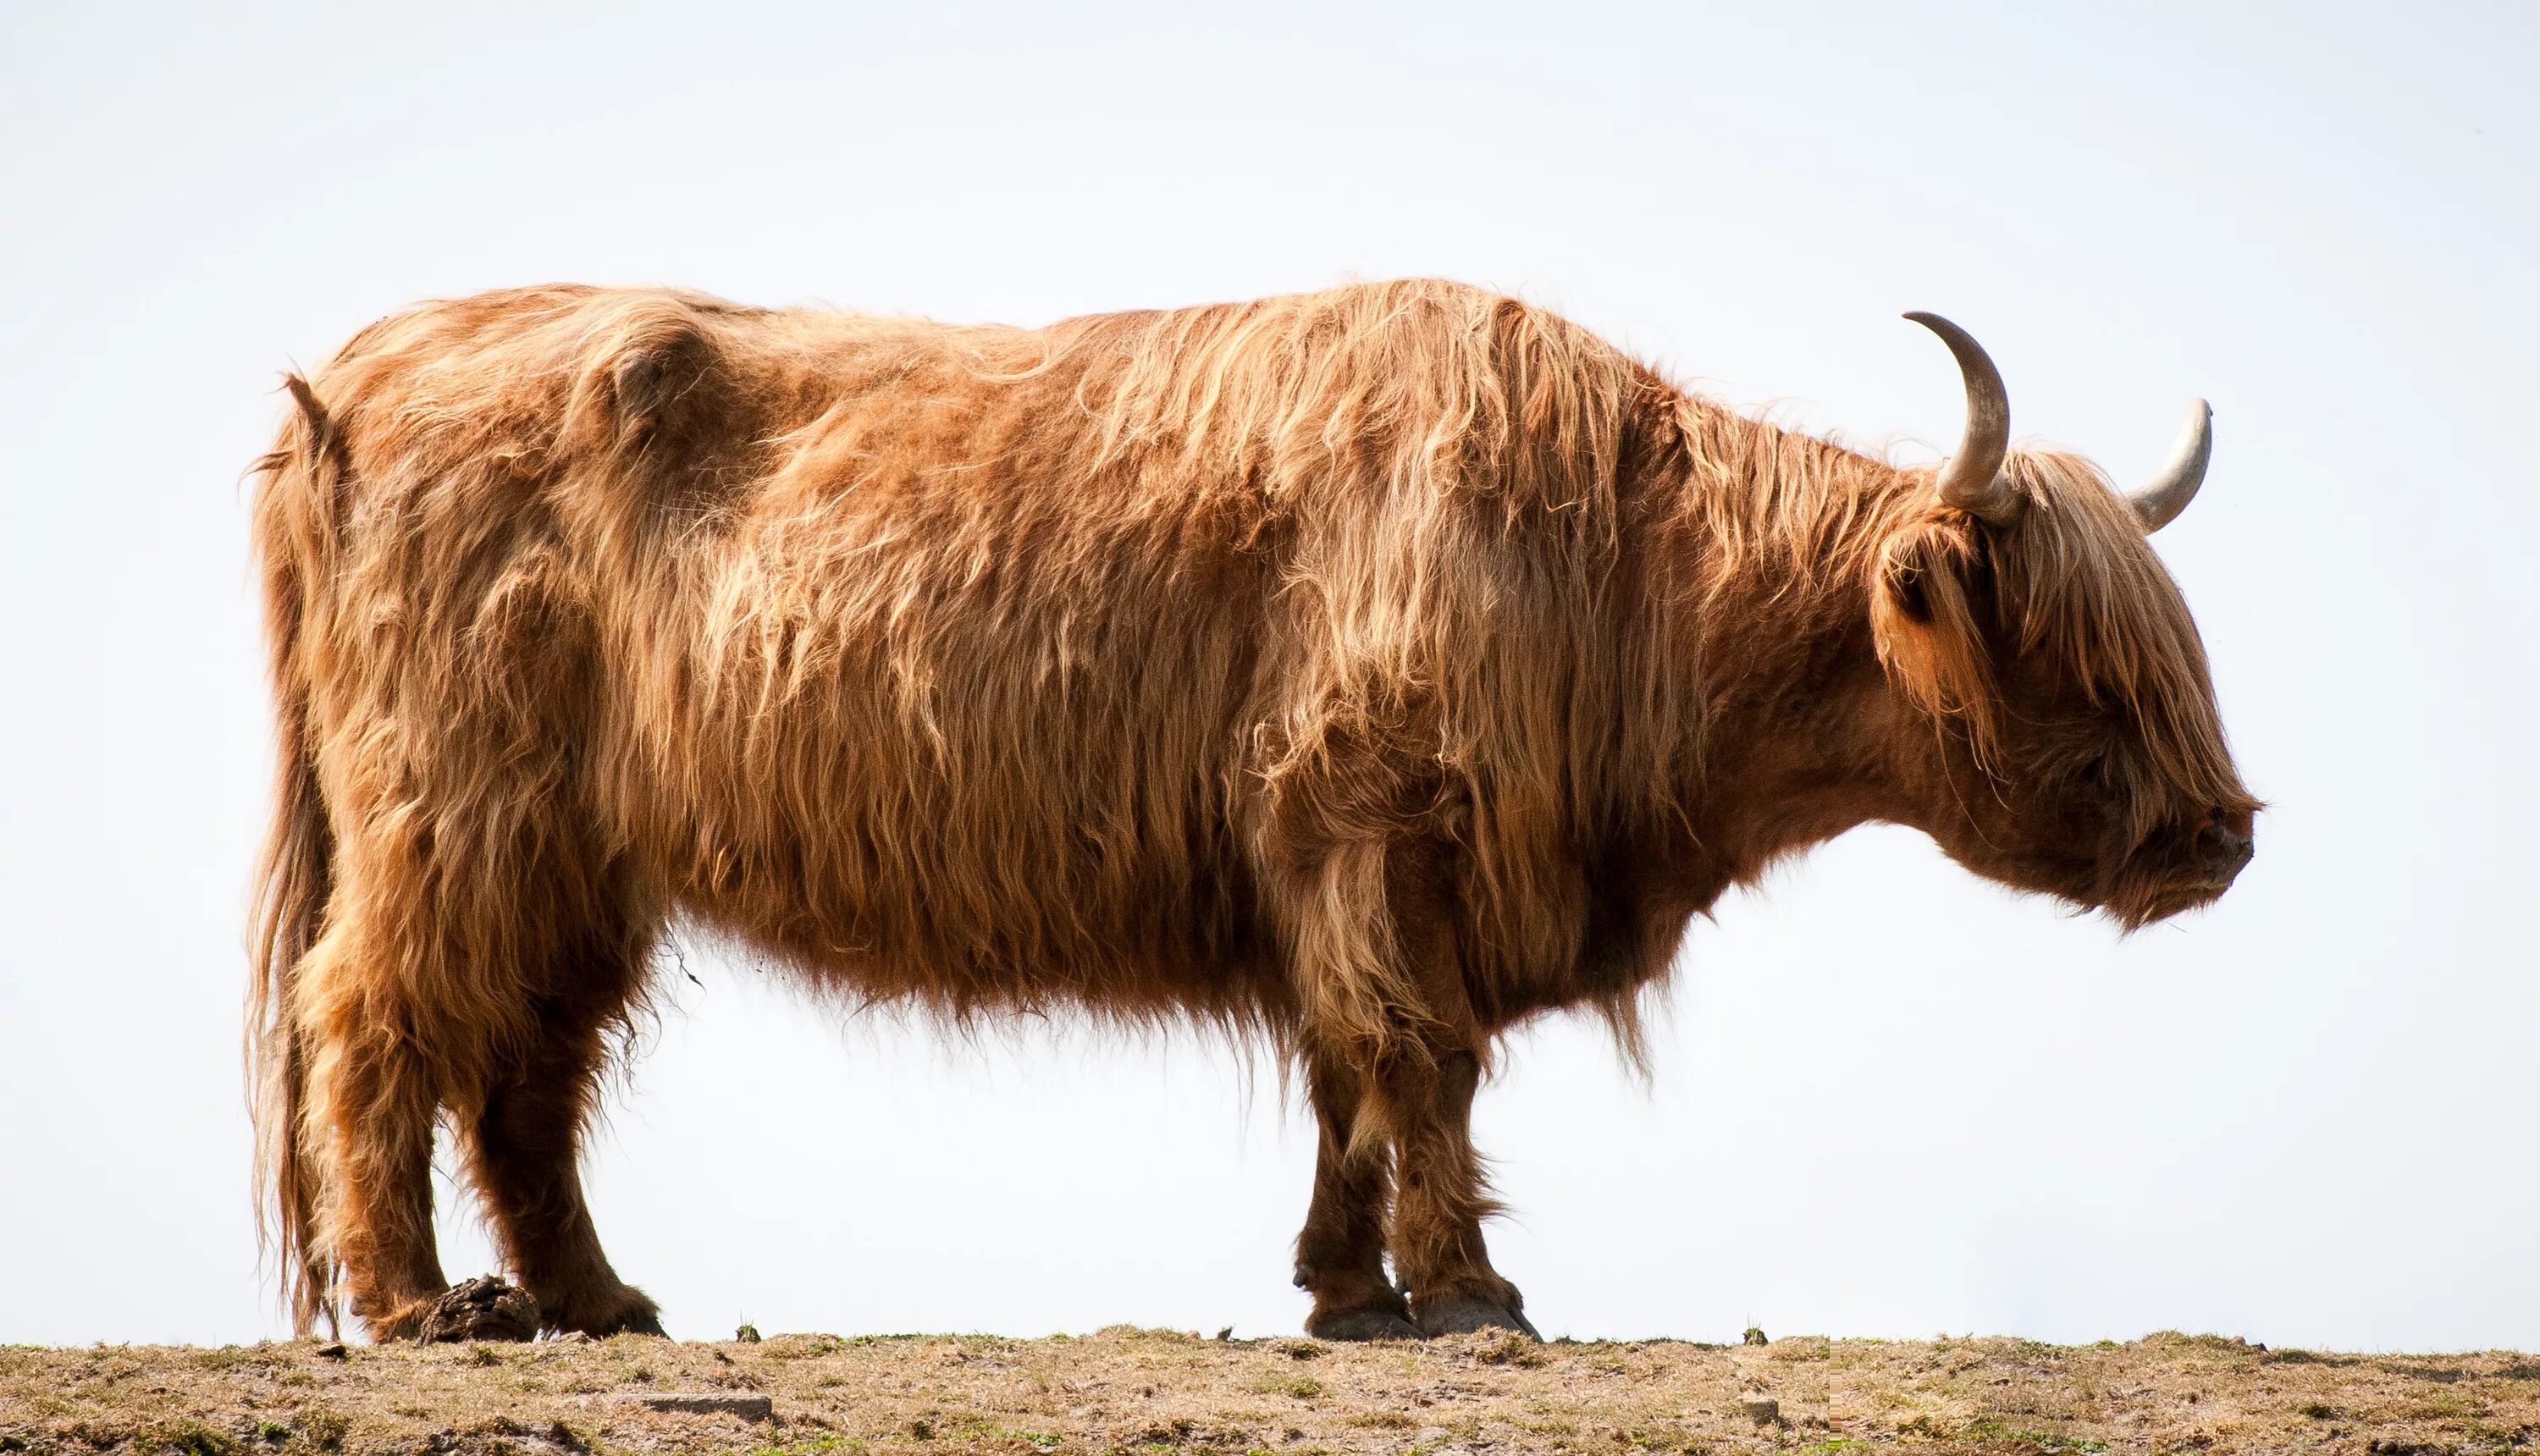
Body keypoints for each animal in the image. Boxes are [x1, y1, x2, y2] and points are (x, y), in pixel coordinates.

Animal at [247, 278, 2256, 1341]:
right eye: (2074, 651)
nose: (2225, 834)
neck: (1626, 566)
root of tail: (349, 377)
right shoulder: (1375, 826)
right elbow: (1417, 1056)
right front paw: (1468, 1288)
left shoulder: (1343, 870)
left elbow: (1349, 1079)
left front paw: (1345, 1285)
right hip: (451, 815)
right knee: (374, 1022)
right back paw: (423, 1307)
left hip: (578, 862)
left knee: (529, 1067)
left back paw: (595, 1296)